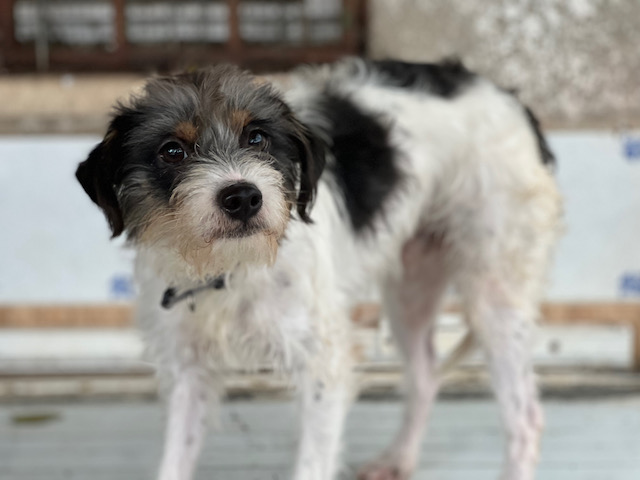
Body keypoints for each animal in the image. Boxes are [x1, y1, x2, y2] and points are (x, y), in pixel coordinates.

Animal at [76, 58, 562, 480]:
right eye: (172, 151)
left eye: (257, 138)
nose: (244, 197)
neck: (232, 269)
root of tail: (508, 95)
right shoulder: (188, 370)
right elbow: (175, 460)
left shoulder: (322, 365)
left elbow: (313, 461)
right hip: (411, 289)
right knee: (425, 375)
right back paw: (398, 460)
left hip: (495, 290)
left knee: (527, 417)